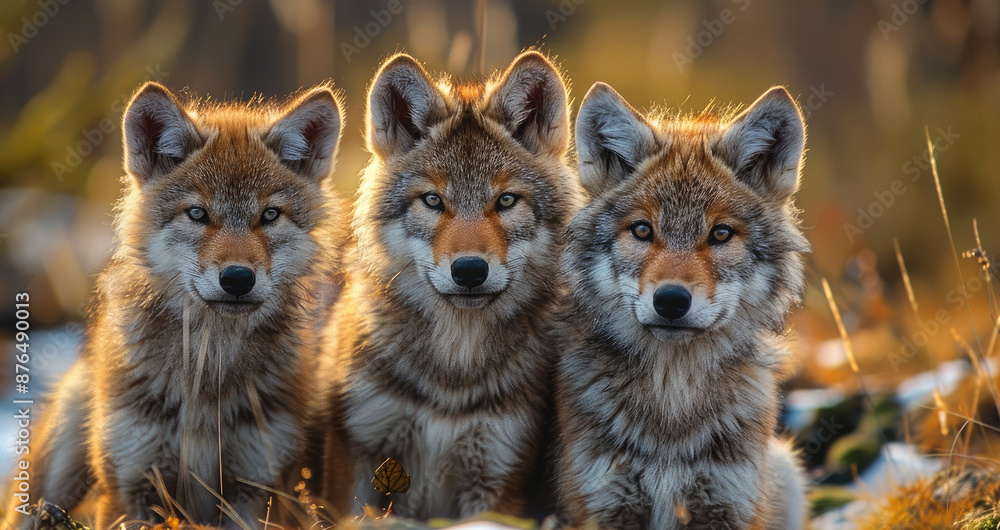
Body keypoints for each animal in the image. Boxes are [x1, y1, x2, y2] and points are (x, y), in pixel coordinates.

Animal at [4, 81, 346, 529]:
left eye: (269, 215)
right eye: (197, 214)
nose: (238, 279)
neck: (207, 369)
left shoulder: (253, 491)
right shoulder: (135, 489)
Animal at [320, 51, 579, 520]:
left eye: (506, 201)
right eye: (433, 201)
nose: (470, 270)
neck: (451, 379)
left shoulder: (496, 478)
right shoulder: (356, 460)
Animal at [554, 84, 810, 529]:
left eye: (721, 233)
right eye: (642, 230)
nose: (671, 299)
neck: (672, 402)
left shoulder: (727, 504)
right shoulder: (606, 504)